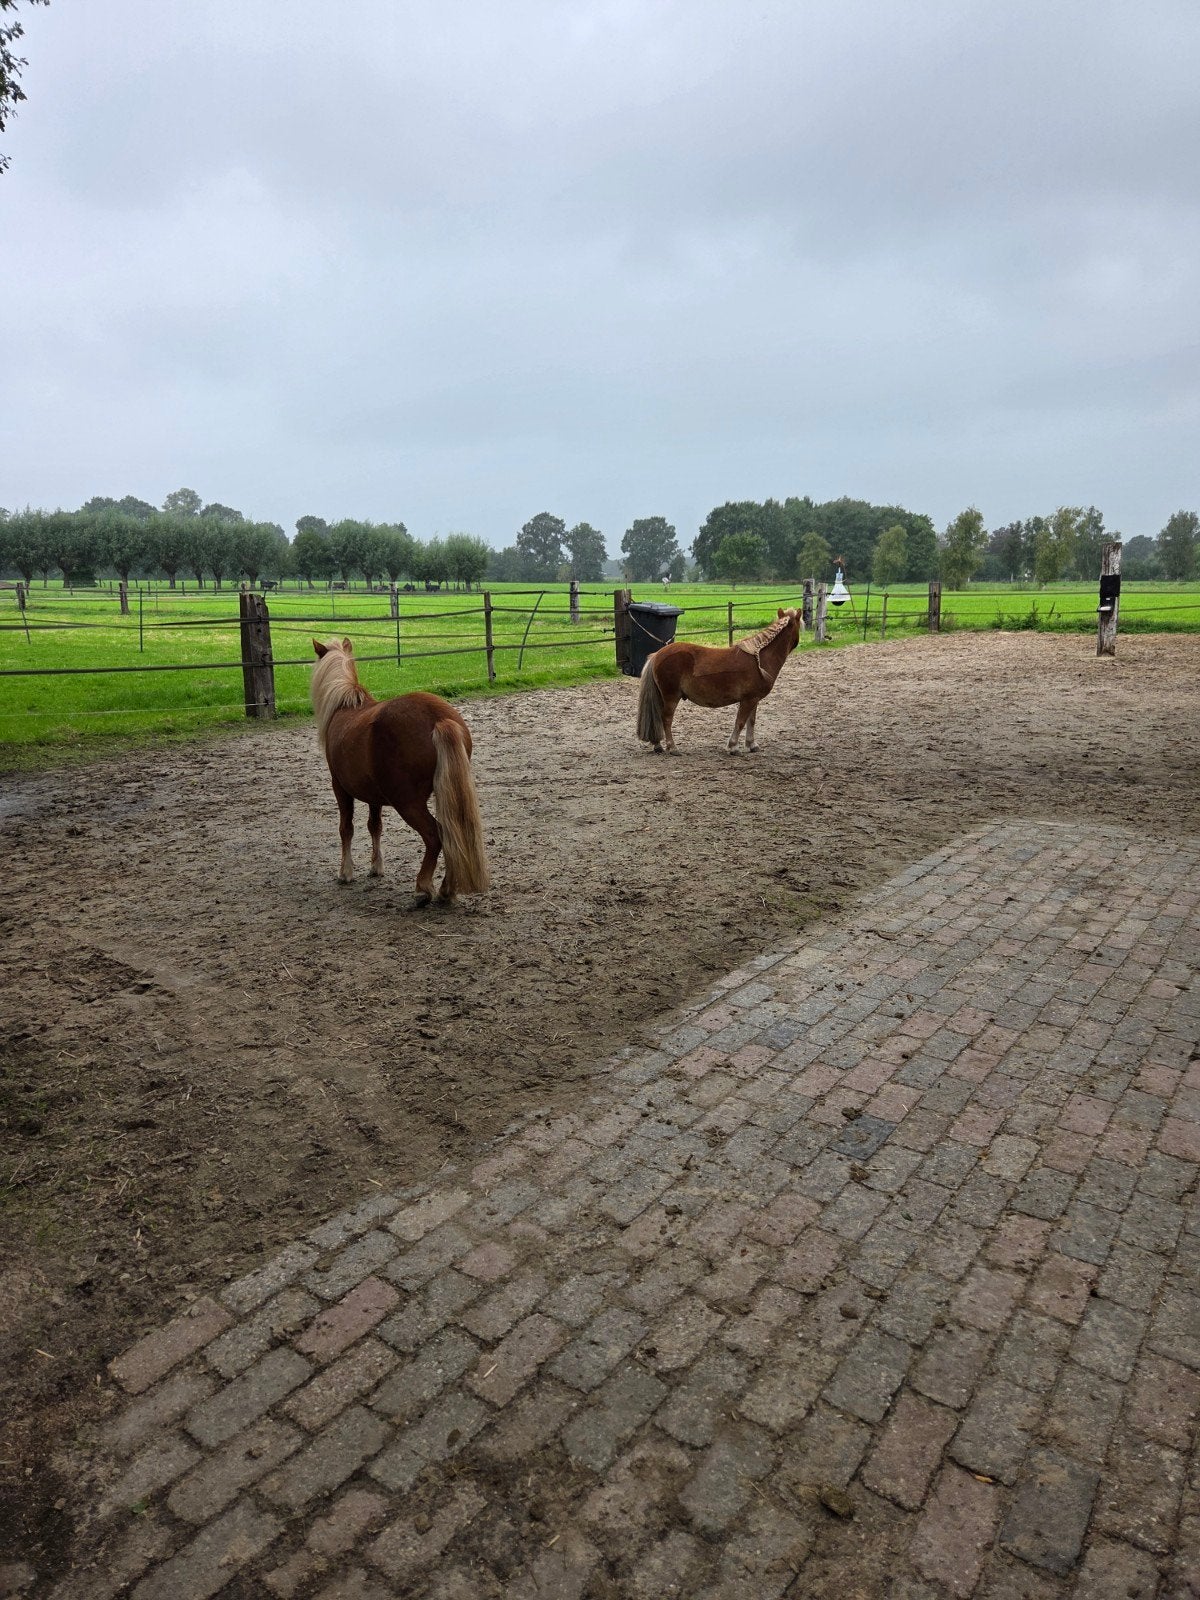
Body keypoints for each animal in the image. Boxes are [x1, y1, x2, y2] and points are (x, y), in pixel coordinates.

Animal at [310, 638, 490, 903]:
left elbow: (346, 828)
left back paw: (424, 888)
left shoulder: (340, 788)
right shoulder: (373, 796)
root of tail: (439, 719)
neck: (346, 706)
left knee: (434, 835)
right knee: (450, 835)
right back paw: (446, 889)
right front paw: (376, 867)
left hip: (407, 802)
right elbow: (374, 826)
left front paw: (345, 872)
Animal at [636, 607, 804, 755]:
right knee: (666, 719)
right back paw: (672, 748)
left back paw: (658, 746)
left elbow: (751, 721)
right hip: (671, 697)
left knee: (657, 718)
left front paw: (752, 745)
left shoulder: (754, 699)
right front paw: (733, 747)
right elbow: (740, 722)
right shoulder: (748, 700)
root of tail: (657, 655)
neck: (760, 659)